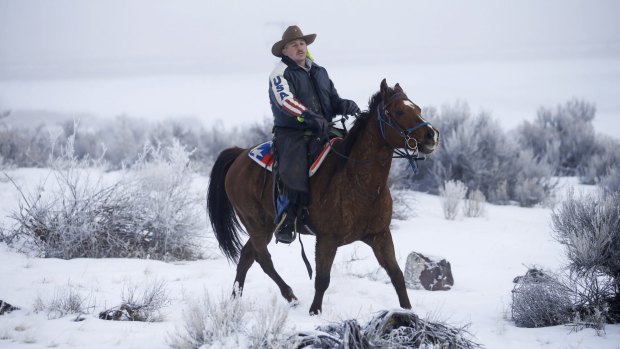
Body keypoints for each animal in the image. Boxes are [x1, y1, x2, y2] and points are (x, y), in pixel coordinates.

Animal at [206, 79, 438, 316]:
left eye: (418, 109)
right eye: (399, 111)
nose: (431, 135)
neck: (358, 182)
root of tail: (239, 154)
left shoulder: (380, 235)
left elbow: (396, 275)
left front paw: (408, 312)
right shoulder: (327, 239)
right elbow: (322, 279)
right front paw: (314, 312)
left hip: (266, 226)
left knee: (246, 257)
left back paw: (235, 301)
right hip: (256, 223)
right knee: (263, 259)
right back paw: (290, 296)